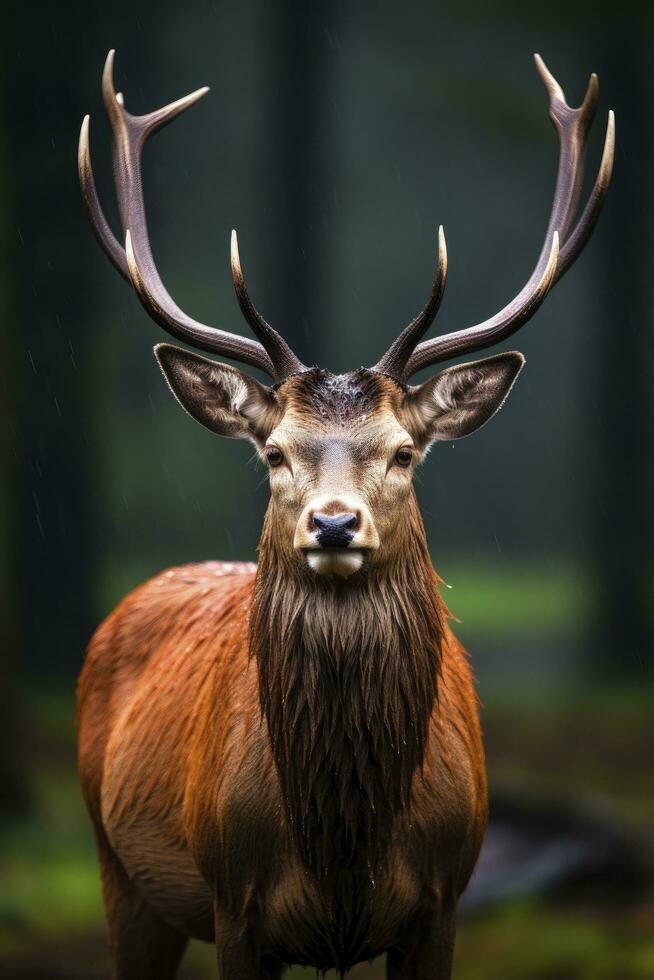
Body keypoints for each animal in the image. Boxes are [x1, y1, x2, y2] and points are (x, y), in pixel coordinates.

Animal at [75, 55, 616, 980]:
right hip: (119, 869)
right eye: (274, 452)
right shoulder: (235, 906)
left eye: (403, 452)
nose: (333, 527)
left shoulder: (444, 902)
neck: (342, 847)